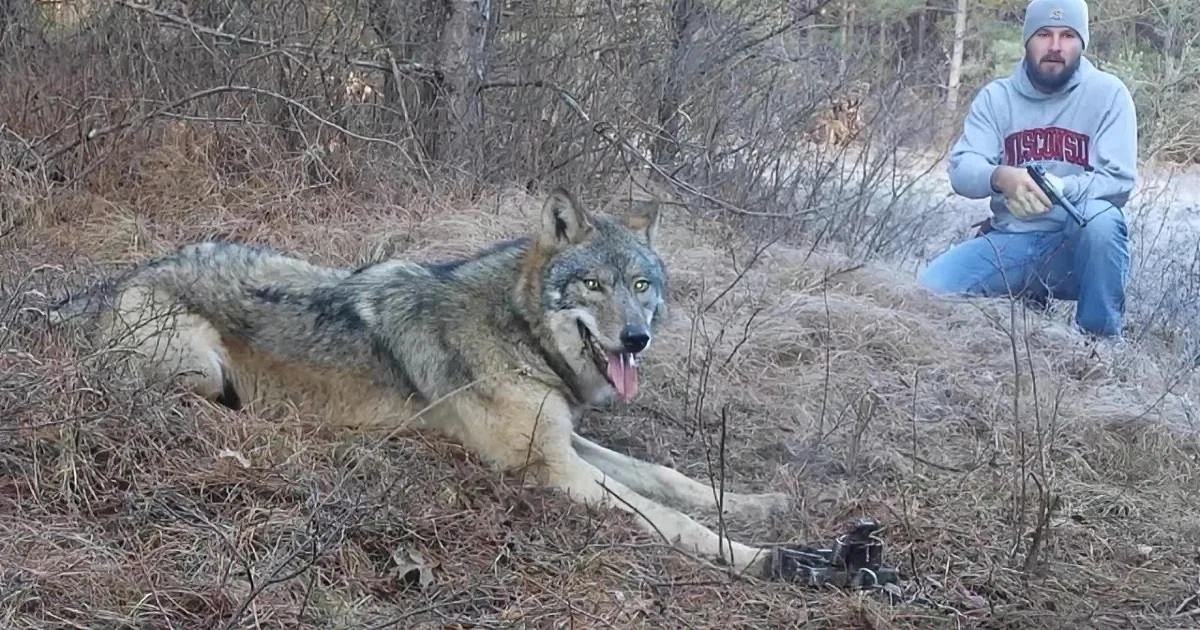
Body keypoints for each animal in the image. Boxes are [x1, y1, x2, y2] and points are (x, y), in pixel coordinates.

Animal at [46, 187, 800, 579]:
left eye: (642, 286)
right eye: (593, 285)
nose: (637, 339)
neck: (517, 329)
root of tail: (124, 276)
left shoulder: (567, 444)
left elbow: (672, 479)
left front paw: (762, 505)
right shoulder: (549, 468)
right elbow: (668, 517)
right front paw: (761, 557)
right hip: (201, 368)